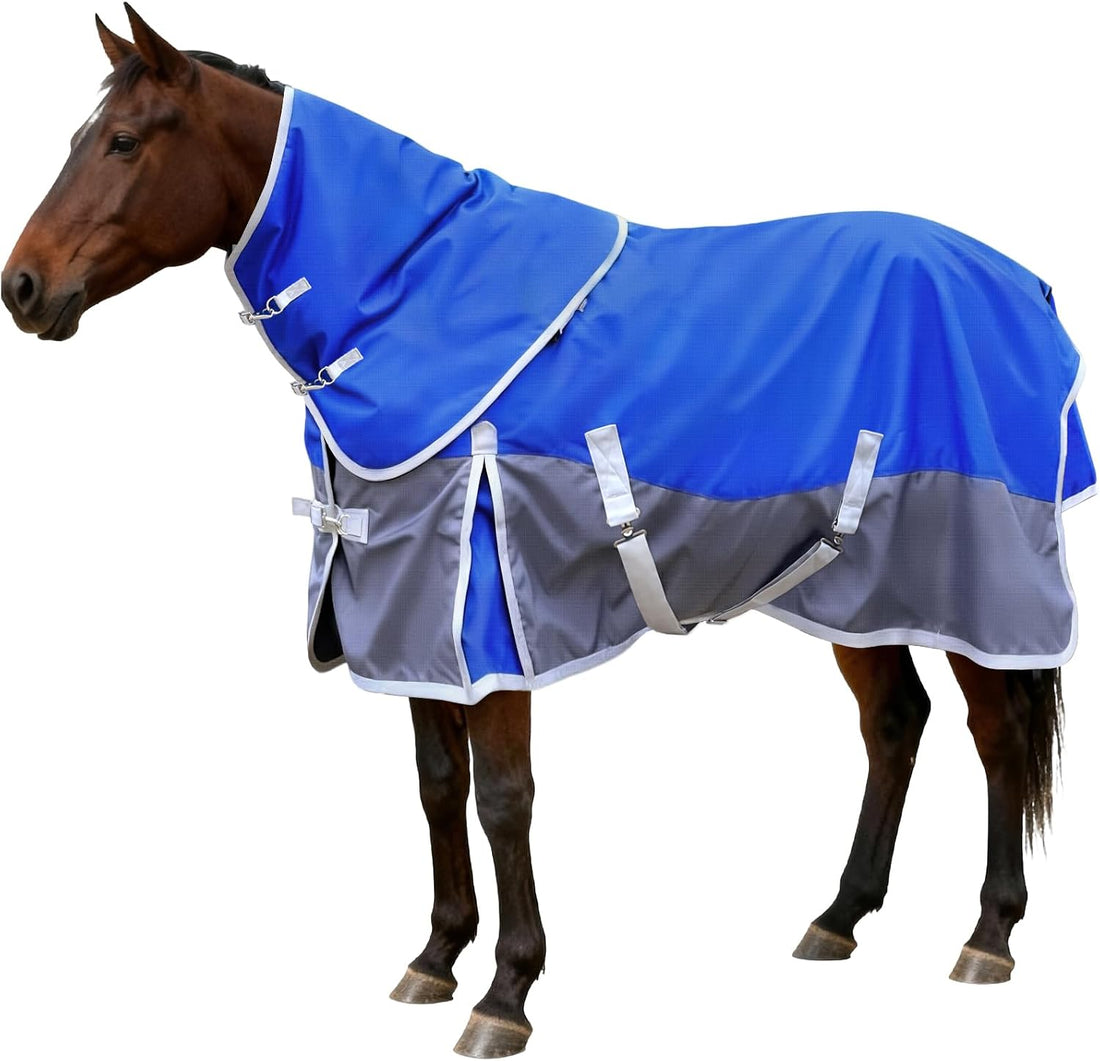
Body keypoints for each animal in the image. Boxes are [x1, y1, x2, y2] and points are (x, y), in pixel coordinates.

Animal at [3, 8, 1092, 1057]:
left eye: (124, 140)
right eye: (79, 138)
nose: (22, 286)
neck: (408, 294)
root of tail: (1022, 282)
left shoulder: (488, 609)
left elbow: (503, 796)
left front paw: (506, 992)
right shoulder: (410, 608)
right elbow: (436, 783)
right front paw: (435, 955)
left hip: (968, 576)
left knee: (995, 731)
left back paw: (988, 935)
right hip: (853, 585)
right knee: (894, 720)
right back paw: (838, 916)